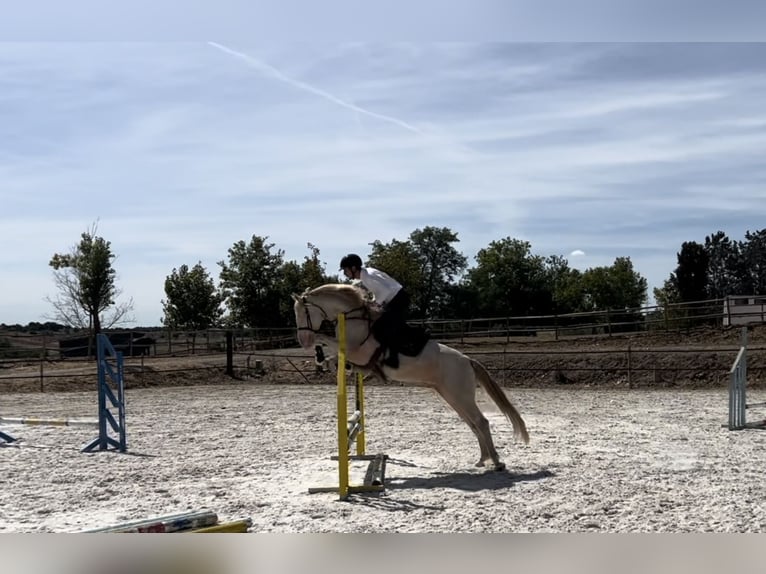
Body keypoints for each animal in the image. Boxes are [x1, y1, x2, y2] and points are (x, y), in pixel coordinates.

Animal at [292, 283, 529, 471]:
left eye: (303, 312)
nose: (303, 341)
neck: (354, 318)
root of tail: (468, 360)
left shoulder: (357, 351)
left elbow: (326, 339)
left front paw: (320, 354)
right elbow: (333, 353)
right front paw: (323, 361)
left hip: (460, 396)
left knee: (481, 422)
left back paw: (496, 462)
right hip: (452, 396)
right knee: (473, 423)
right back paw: (482, 460)